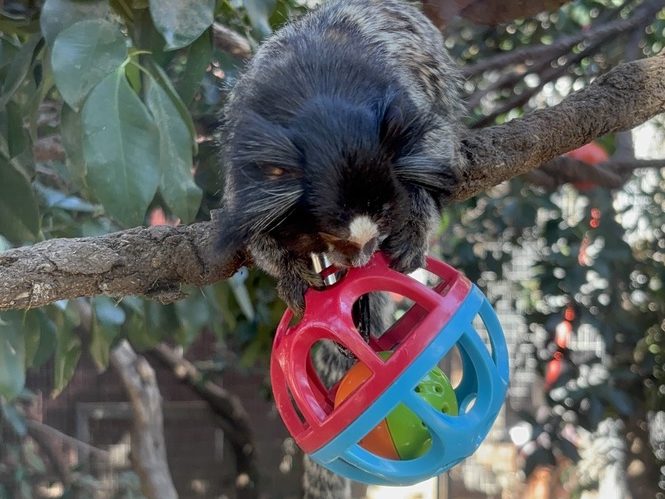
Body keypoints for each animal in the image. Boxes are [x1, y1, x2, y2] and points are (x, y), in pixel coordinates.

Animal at [218, 0, 464, 315]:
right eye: (333, 236)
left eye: (383, 221)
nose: (361, 258)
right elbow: (254, 233)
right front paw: (290, 271)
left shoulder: (412, 117)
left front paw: (415, 227)